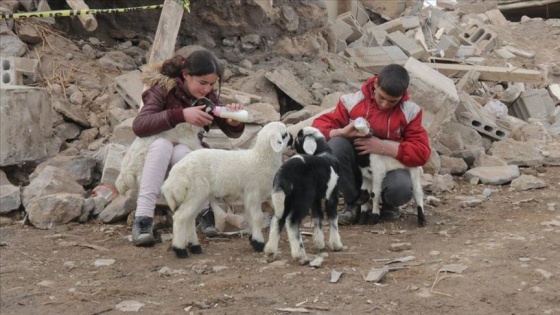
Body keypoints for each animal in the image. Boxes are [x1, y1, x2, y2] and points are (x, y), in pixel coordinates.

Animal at [162, 121, 294, 260]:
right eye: (284, 135)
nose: (292, 138)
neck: (260, 159)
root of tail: (174, 175)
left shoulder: (247, 196)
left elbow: (250, 217)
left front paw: (253, 240)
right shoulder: (253, 193)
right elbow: (258, 217)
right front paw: (259, 243)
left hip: (199, 195)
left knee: (190, 218)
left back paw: (195, 246)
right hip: (196, 192)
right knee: (180, 217)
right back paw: (179, 250)